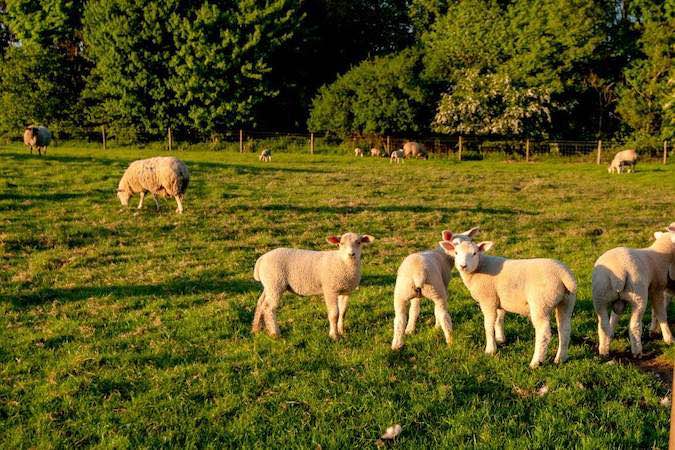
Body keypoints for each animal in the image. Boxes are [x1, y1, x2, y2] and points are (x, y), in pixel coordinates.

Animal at [440, 241, 580, 368]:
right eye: (456, 253)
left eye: (474, 253)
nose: (463, 266)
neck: (480, 267)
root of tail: (564, 274)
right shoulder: (499, 300)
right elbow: (499, 320)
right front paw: (500, 339)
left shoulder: (488, 299)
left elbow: (488, 324)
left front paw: (490, 349)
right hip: (567, 301)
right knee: (565, 329)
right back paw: (560, 358)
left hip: (541, 303)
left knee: (544, 333)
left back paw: (535, 362)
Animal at [592, 227, 675, 356]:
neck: (660, 255)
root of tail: (618, 272)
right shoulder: (657, 289)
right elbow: (660, 314)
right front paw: (668, 339)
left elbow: (615, 317)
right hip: (638, 295)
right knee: (634, 326)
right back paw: (637, 351)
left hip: (600, 295)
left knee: (603, 325)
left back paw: (604, 351)